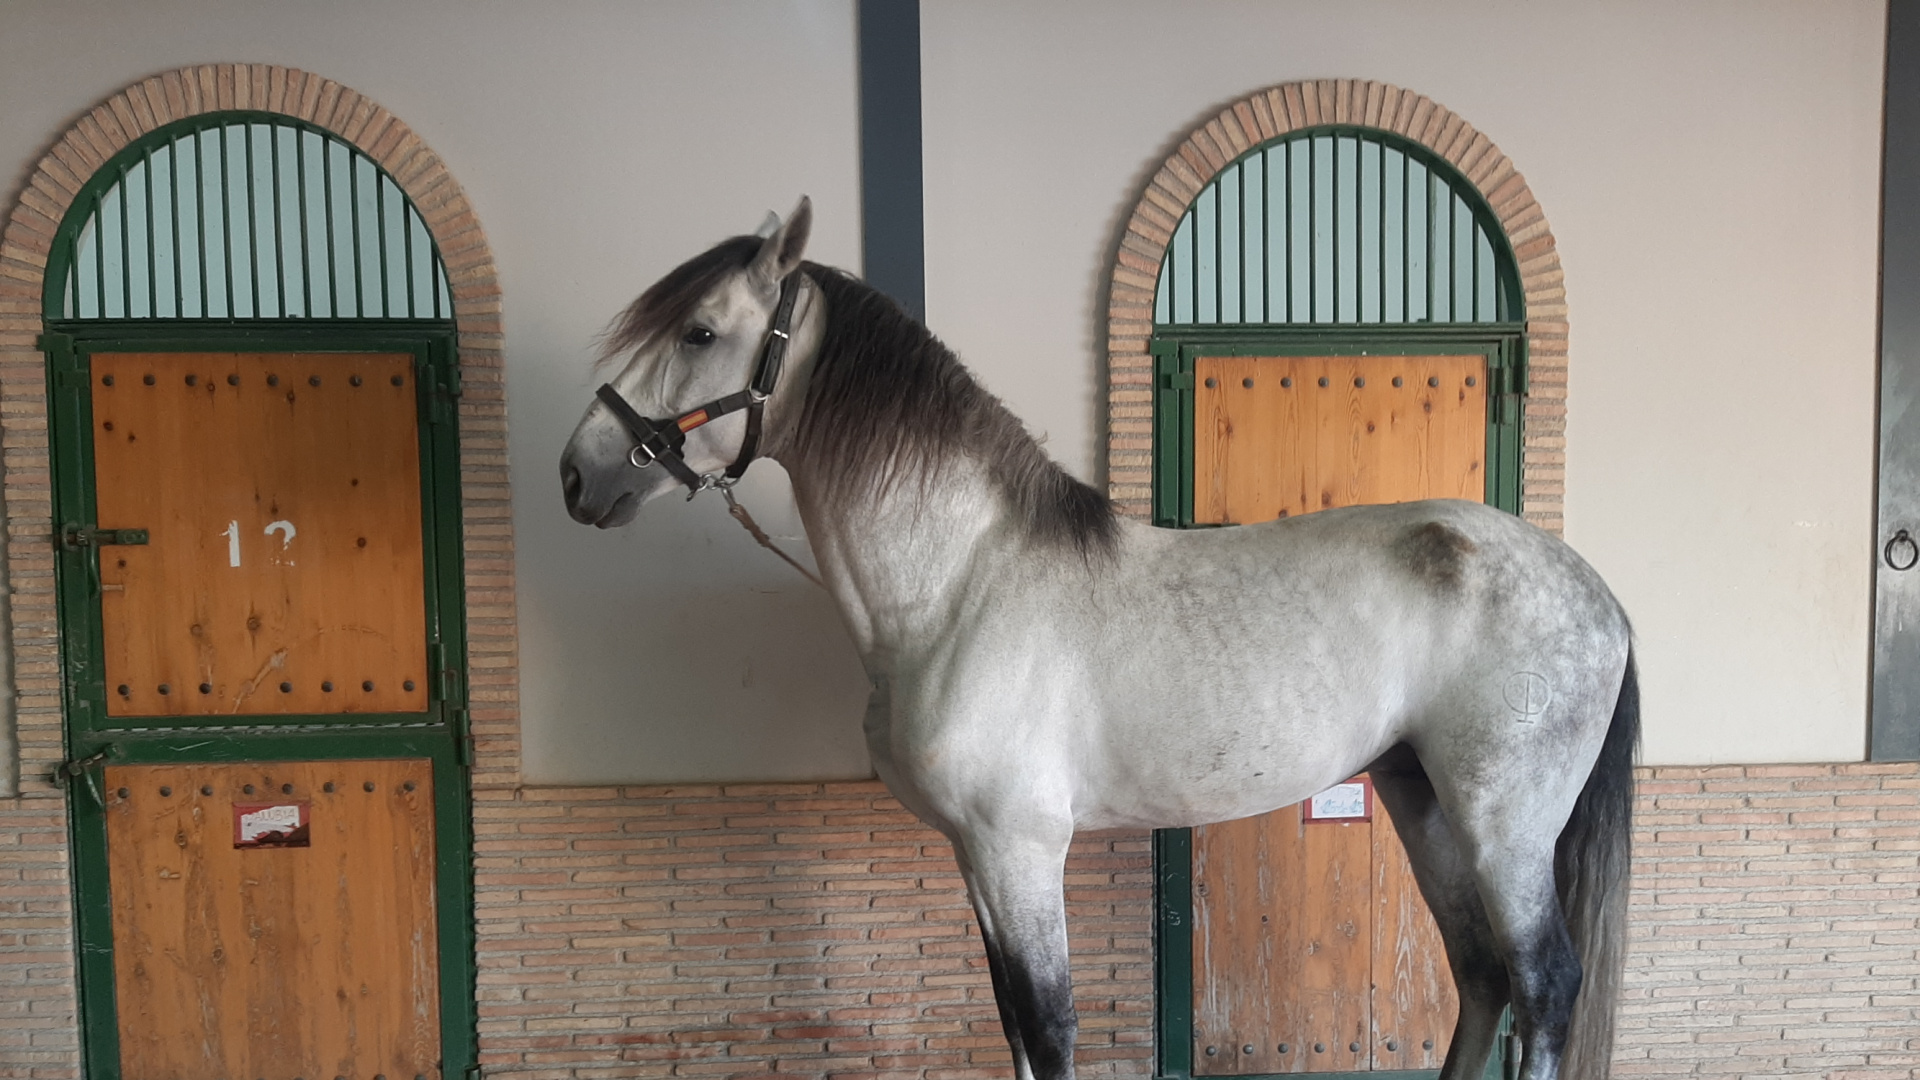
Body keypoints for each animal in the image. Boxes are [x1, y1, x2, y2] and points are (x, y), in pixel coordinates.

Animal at [559, 198, 1638, 1080]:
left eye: (700, 330)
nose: (578, 472)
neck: (962, 586)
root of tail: (1594, 592)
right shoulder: (978, 855)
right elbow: (1012, 1023)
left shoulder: (1022, 848)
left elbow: (1049, 1026)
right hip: (1424, 801)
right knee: (1482, 977)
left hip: (1505, 823)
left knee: (1542, 987)